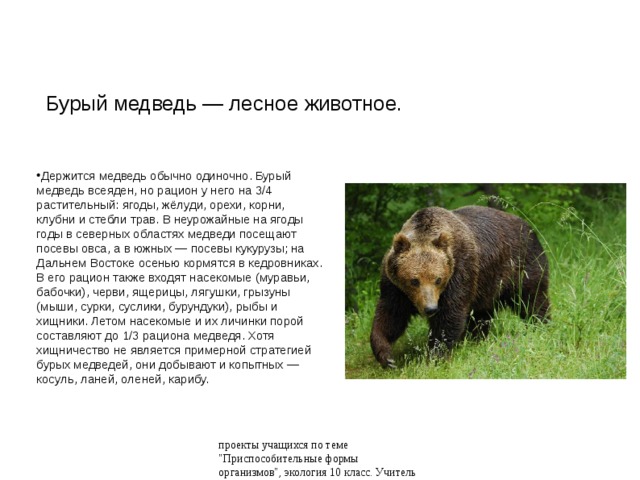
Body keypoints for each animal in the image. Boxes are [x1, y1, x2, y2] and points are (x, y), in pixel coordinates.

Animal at [370, 205, 550, 368]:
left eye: (438, 279)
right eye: (414, 280)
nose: (430, 308)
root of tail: (529, 227)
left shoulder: (460, 272)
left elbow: (450, 315)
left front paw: (435, 357)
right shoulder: (395, 287)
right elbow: (391, 316)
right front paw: (386, 356)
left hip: (520, 266)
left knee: (532, 299)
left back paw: (540, 324)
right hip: (486, 286)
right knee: (481, 315)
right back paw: (477, 339)